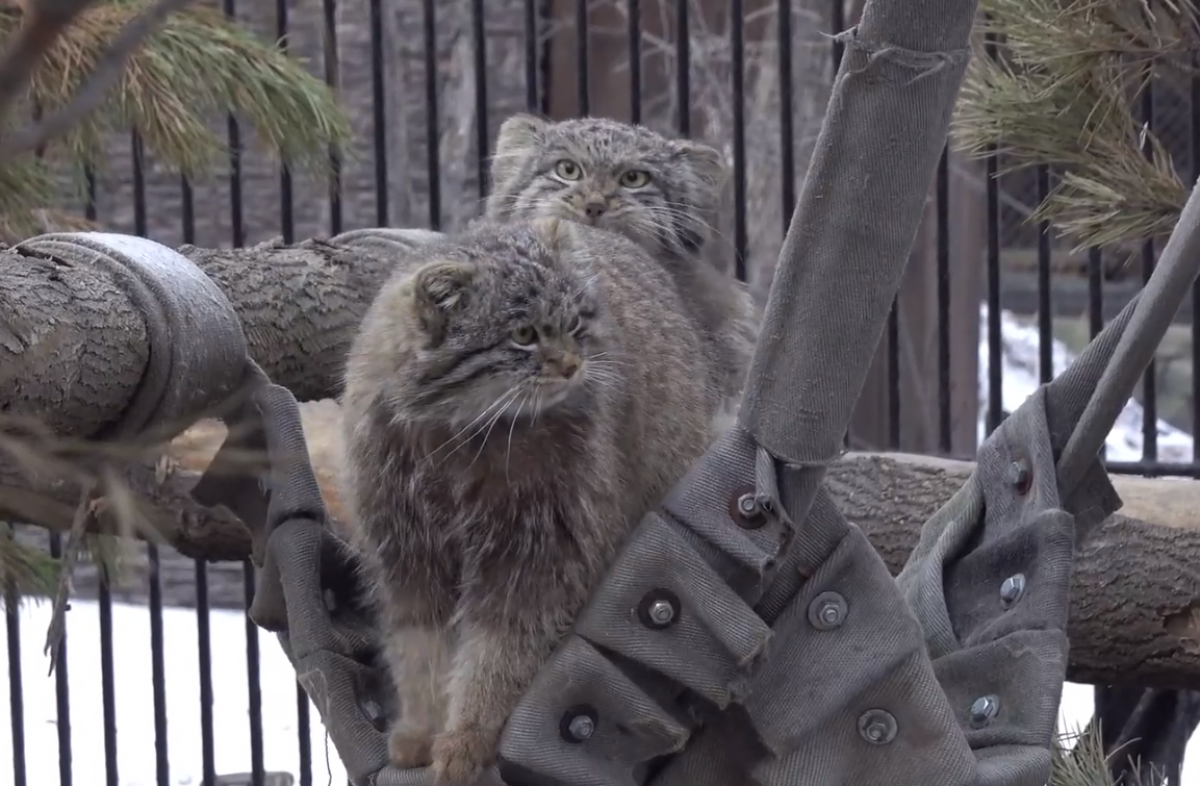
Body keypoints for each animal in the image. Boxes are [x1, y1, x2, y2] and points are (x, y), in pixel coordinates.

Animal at [343, 217, 724, 786]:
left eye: (576, 323)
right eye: (523, 335)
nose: (571, 365)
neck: (459, 434)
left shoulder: (539, 552)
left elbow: (501, 651)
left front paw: (468, 734)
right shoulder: (404, 552)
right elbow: (419, 648)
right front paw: (420, 728)